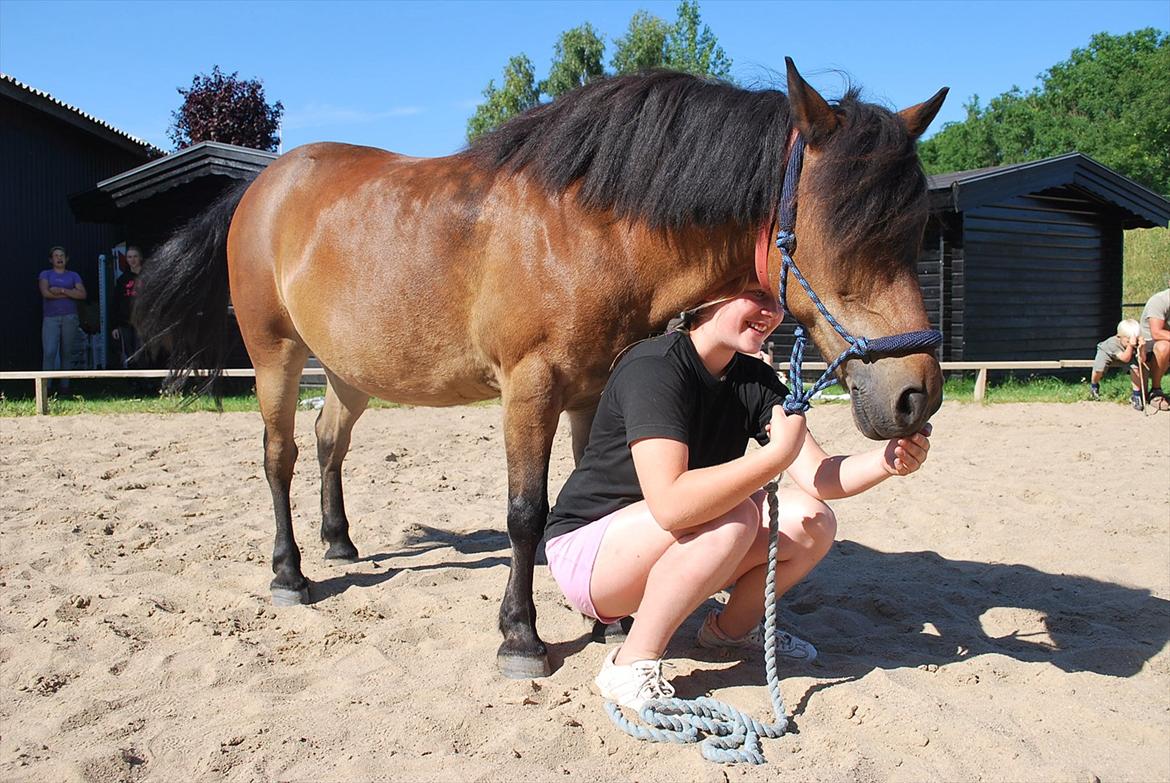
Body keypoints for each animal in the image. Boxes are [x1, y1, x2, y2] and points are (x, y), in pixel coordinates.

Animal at [136, 56, 945, 678]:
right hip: (275, 355)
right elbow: (527, 512)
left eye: (914, 236)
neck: (591, 230)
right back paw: (291, 573)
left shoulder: (593, 390)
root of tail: (262, 186)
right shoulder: (530, 389)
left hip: (350, 370)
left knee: (330, 440)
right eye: (842, 234)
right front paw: (521, 637)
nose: (916, 397)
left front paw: (609, 622)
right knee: (280, 456)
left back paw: (339, 542)